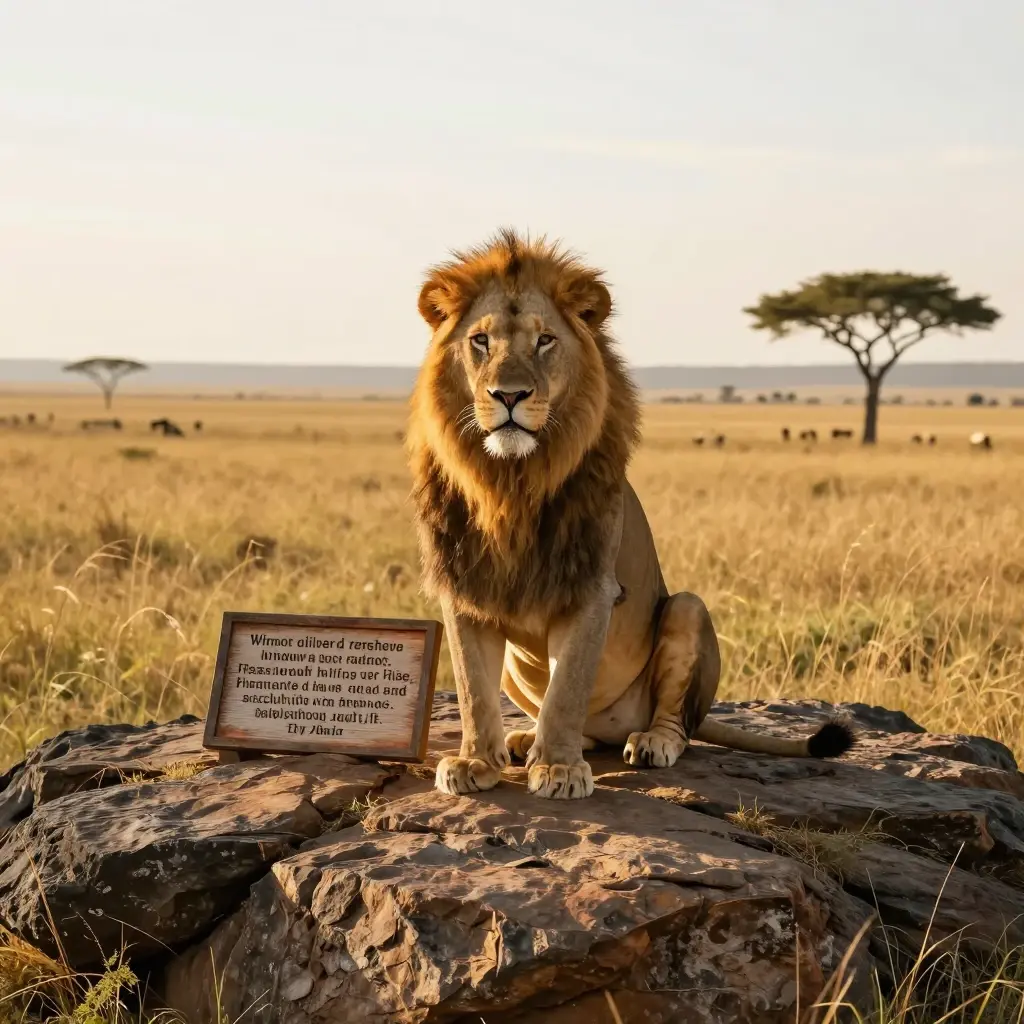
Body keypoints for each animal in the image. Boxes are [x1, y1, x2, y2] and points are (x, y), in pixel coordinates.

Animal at [407, 229, 854, 800]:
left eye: (544, 341)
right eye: (481, 341)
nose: (509, 395)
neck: (511, 481)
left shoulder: (591, 586)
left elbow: (567, 688)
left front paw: (558, 769)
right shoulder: (466, 584)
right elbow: (472, 690)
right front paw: (474, 763)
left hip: (687, 609)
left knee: (677, 723)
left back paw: (648, 743)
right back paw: (524, 739)